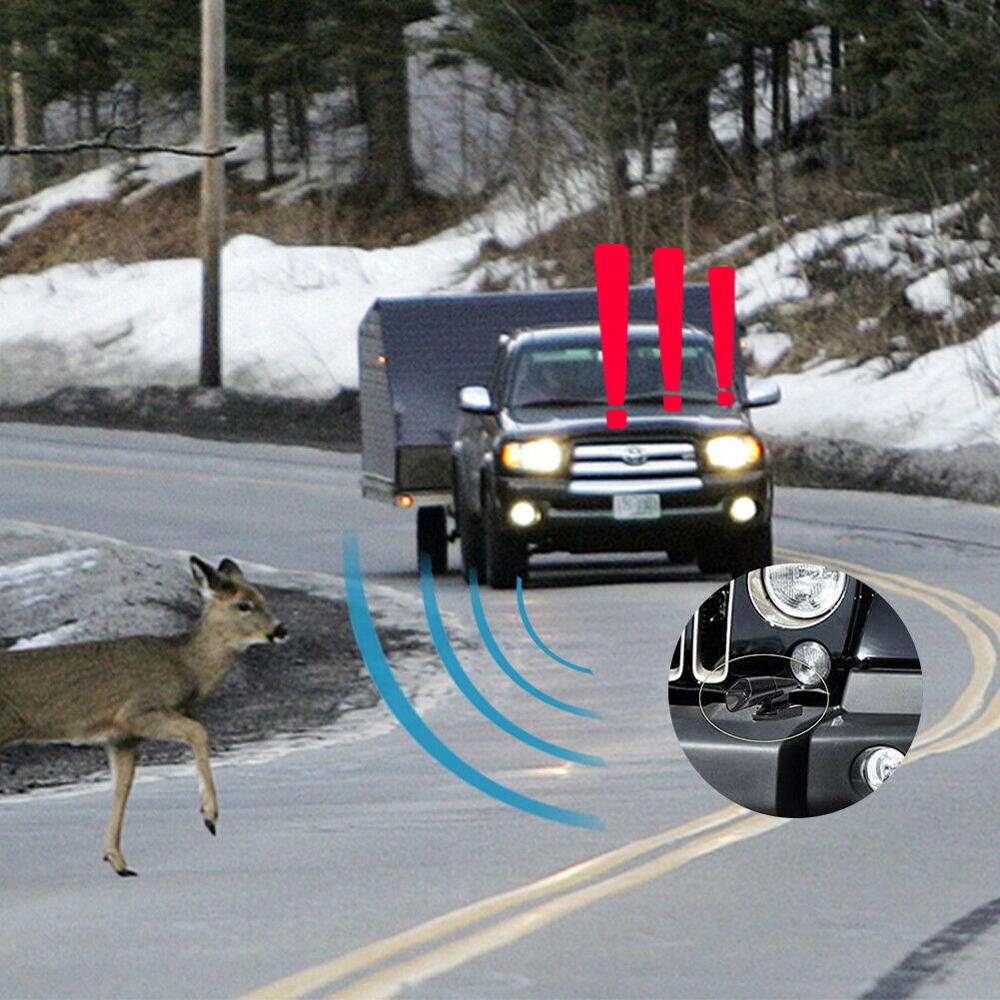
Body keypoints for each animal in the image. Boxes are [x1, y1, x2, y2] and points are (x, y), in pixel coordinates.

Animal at [0, 555, 288, 877]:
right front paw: (209, 815)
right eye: (243, 604)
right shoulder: (136, 711)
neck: (185, 669)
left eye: (262, 598)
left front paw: (117, 860)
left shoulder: (122, 737)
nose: (281, 629)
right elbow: (198, 731)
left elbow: (123, 785)